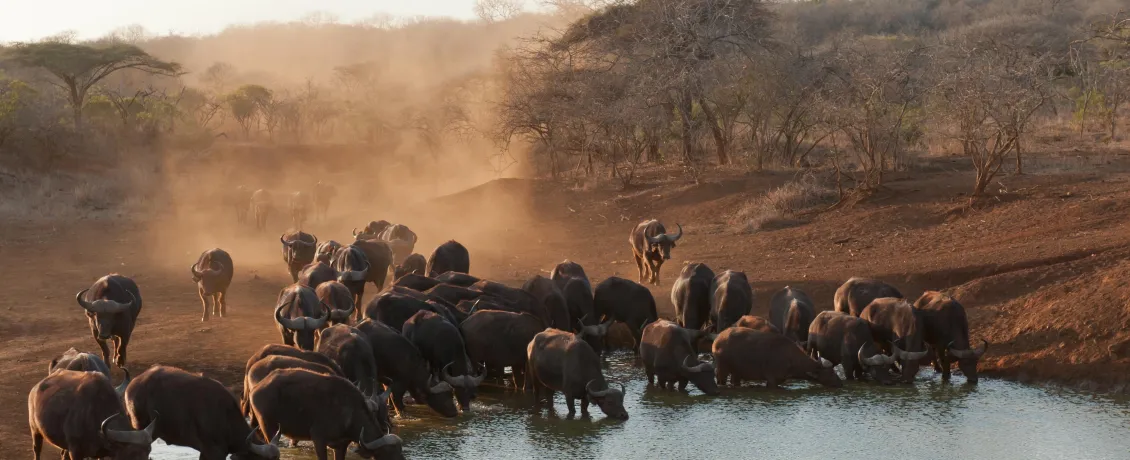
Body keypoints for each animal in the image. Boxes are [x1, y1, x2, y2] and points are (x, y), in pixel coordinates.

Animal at [713, 327, 842, 389]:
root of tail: (717, 340)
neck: (792, 360)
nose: (840, 383)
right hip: (722, 369)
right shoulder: (772, 380)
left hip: (737, 372)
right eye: (831, 372)